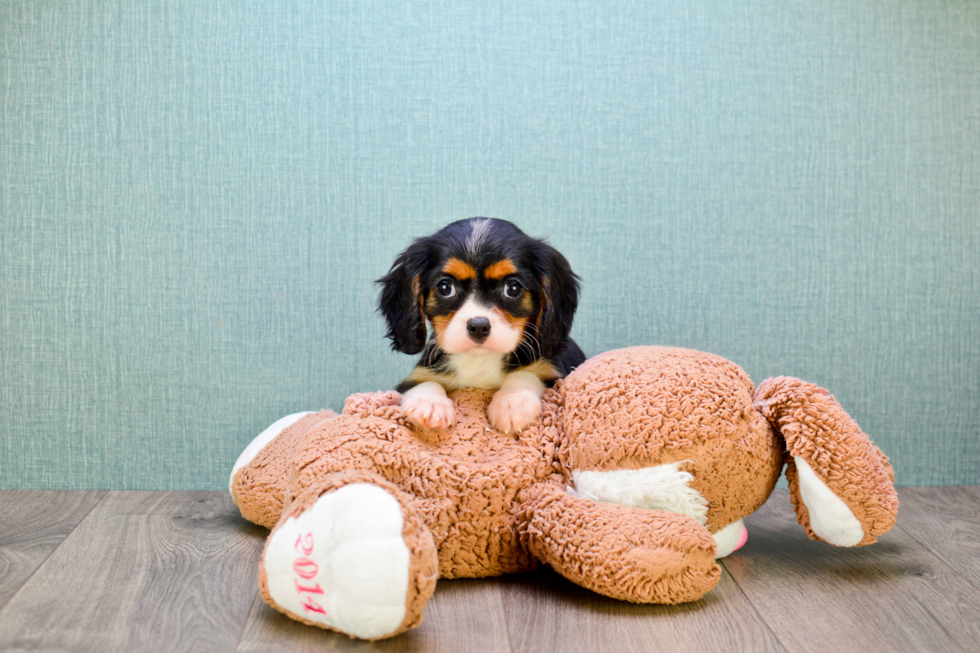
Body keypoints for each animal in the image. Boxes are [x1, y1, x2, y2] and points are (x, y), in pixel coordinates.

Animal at [378, 218, 584, 432]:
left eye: (513, 288)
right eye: (445, 287)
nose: (478, 326)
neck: (480, 360)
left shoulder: (555, 377)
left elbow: (526, 374)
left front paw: (512, 403)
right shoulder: (418, 376)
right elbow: (424, 382)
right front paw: (428, 404)